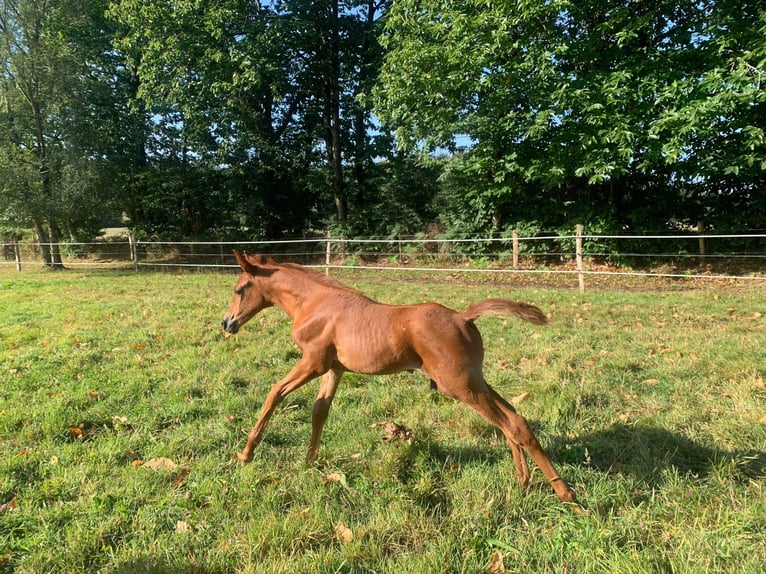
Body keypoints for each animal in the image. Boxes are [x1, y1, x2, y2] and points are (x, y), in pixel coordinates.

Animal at [221, 250, 575, 504]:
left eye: (239, 289)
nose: (227, 323)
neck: (316, 304)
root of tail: (463, 317)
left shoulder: (313, 363)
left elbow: (274, 393)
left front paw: (245, 454)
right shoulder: (334, 369)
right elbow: (319, 411)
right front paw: (310, 461)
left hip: (459, 385)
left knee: (512, 423)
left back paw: (565, 494)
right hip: (475, 379)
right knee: (512, 419)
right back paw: (524, 482)